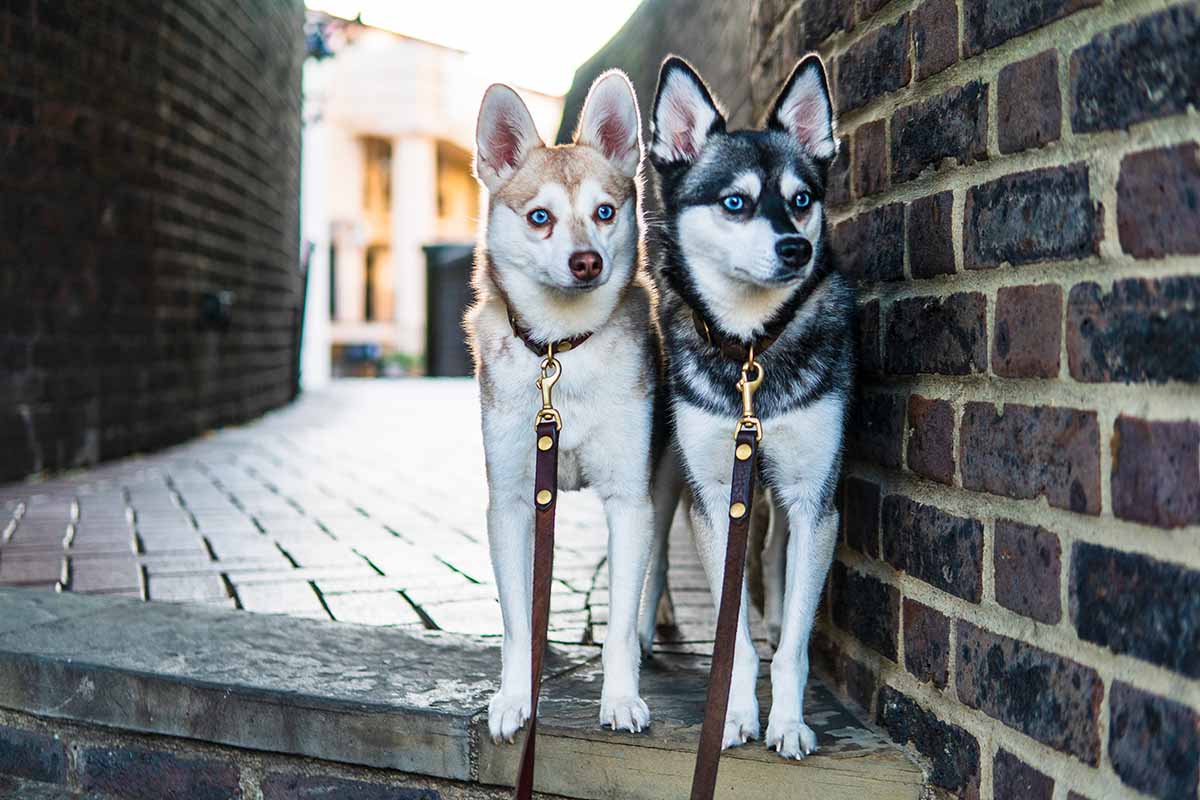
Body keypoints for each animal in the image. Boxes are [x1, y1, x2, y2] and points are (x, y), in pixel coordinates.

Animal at [463, 71, 672, 748]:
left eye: (604, 212)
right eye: (540, 218)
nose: (587, 261)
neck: (562, 349)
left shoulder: (630, 499)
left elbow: (620, 619)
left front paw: (622, 698)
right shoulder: (512, 500)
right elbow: (516, 617)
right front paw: (514, 696)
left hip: (668, 481)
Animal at [638, 53, 854, 762]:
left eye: (802, 200)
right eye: (735, 202)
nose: (796, 248)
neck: (751, 350)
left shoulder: (815, 496)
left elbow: (792, 644)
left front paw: (787, 722)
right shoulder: (712, 494)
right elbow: (730, 635)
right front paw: (733, 716)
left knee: (775, 558)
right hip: (667, 473)